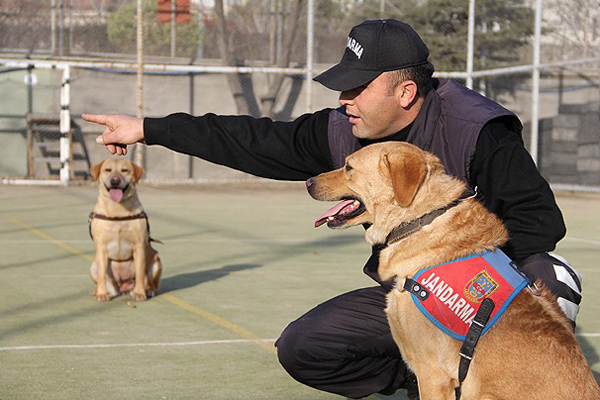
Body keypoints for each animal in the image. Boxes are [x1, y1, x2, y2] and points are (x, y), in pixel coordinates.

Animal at [88, 158, 161, 302]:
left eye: (124, 170)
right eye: (108, 170)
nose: (115, 180)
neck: (118, 211)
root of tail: (123, 288)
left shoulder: (139, 246)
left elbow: (140, 273)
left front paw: (140, 293)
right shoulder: (101, 247)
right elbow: (101, 275)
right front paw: (101, 294)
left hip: (156, 261)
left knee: (151, 283)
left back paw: (148, 291)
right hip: (93, 266)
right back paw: (97, 291)